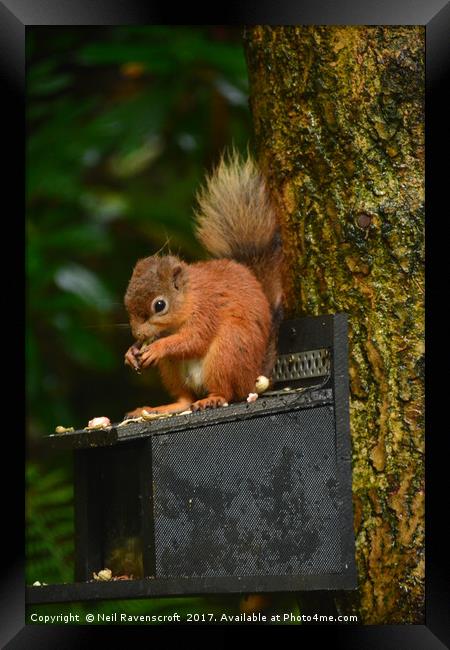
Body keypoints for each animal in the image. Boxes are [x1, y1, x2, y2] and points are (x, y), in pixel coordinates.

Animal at [125, 151, 284, 416]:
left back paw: (212, 398)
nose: (137, 333)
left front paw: (156, 347)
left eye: (160, 305)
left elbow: (194, 339)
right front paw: (131, 351)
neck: (190, 297)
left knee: (226, 391)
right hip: (172, 369)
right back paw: (162, 407)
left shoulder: (207, 310)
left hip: (227, 351)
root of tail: (253, 377)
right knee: (184, 398)